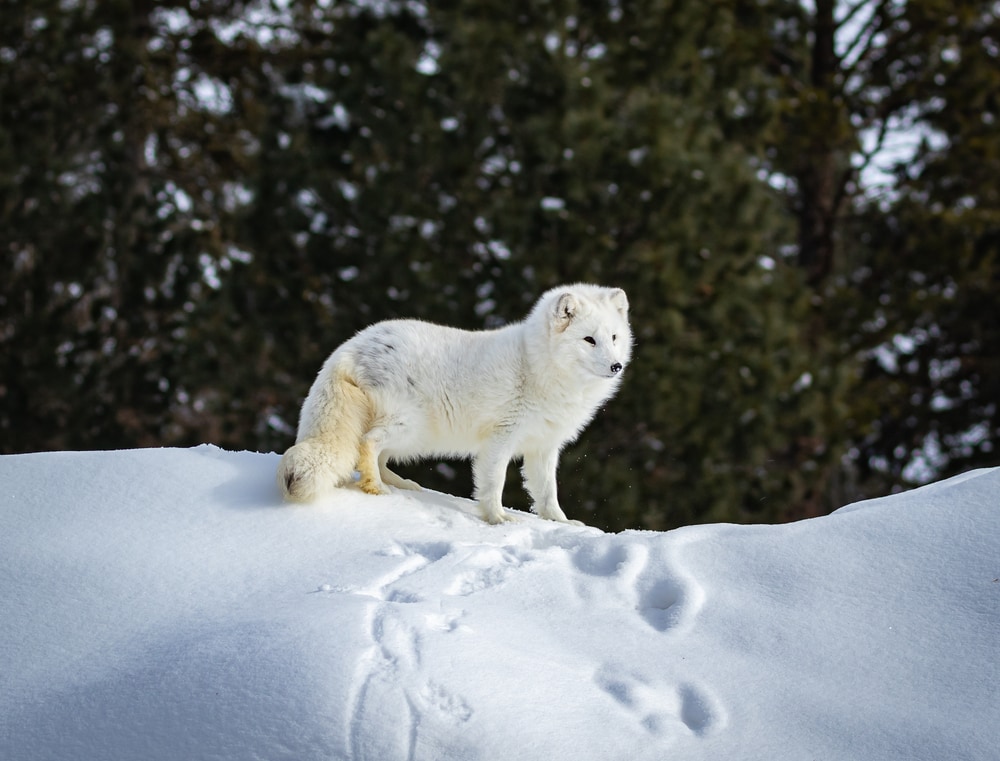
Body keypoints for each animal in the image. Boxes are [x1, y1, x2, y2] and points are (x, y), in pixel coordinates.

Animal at [276, 283, 632, 524]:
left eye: (614, 338)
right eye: (589, 340)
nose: (616, 366)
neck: (536, 367)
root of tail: (350, 348)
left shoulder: (543, 446)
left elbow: (546, 492)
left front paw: (561, 523)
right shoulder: (501, 438)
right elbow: (493, 483)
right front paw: (497, 519)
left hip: (411, 435)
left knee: (379, 455)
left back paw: (402, 485)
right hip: (410, 425)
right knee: (368, 444)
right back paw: (376, 488)